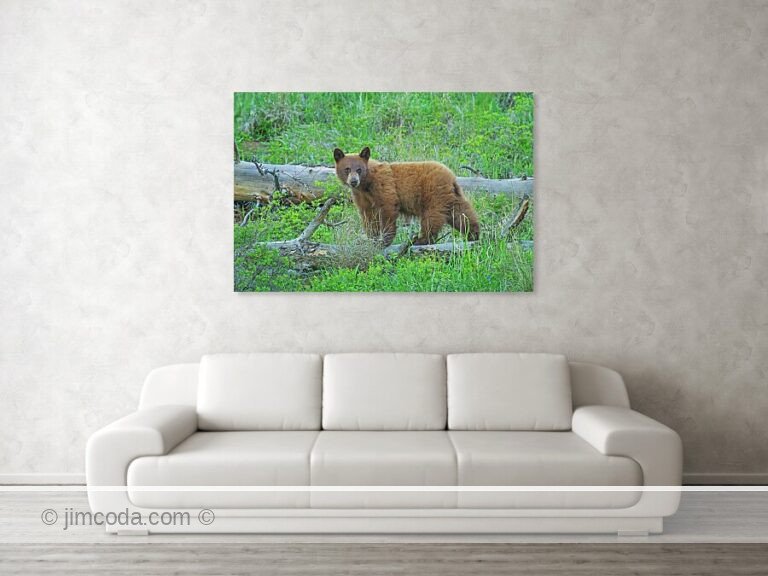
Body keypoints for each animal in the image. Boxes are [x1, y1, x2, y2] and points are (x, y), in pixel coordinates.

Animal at [333, 147, 480, 247]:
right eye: (347, 169)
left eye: (359, 169)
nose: (353, 181)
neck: (367, 184)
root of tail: (451, 177)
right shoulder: (362, 197)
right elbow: (368, 215)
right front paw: (371, 237)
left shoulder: (383, 185)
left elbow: (387, 207)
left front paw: (385, 240)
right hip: (452, 196)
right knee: (462, 214)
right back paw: (474, 234)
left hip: (433, 194)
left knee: (432, 217)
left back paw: (421, 239)